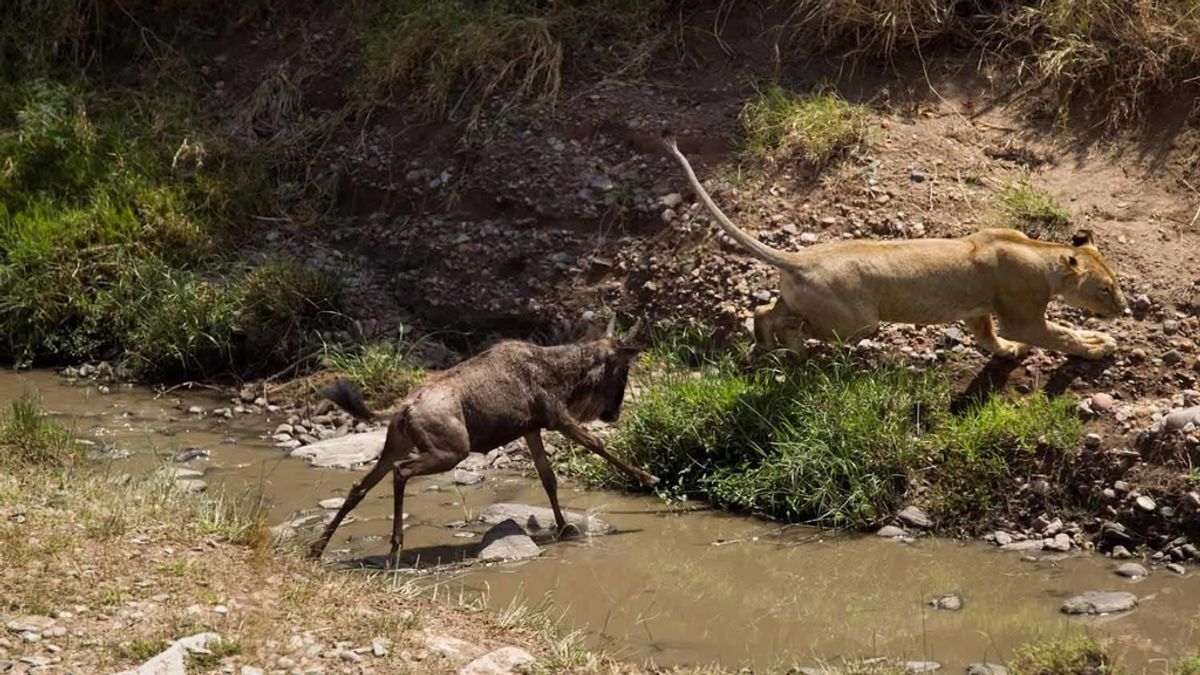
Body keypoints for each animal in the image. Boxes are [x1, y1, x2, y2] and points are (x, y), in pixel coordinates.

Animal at [307, 317, 657, 564]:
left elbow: (548, 478)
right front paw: (648, 477)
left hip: (397, 446)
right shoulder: (557, 418)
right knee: (401, 472)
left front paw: (564, 527)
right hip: (449, 451)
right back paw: (395, 546)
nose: (613, 413)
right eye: (623, 370)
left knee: (360, 486)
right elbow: (598, 446)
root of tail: (403, 409)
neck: (563, 373)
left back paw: (317, 548)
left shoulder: (532, 428)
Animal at [662, 133, 1128, 360]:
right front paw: (1097, 347)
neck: (1040, 253)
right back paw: (790, 351)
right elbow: (1060, 334)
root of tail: (799, 258)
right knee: (797, 327)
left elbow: (990, 337)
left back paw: (768, 347)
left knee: (763, 311)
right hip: (857, 324)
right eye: (1105, 289)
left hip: (803, 302)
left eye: (1118, 284)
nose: (1125, 309)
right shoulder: (1023, 316)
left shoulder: (978, 311)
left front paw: (1009, 353)